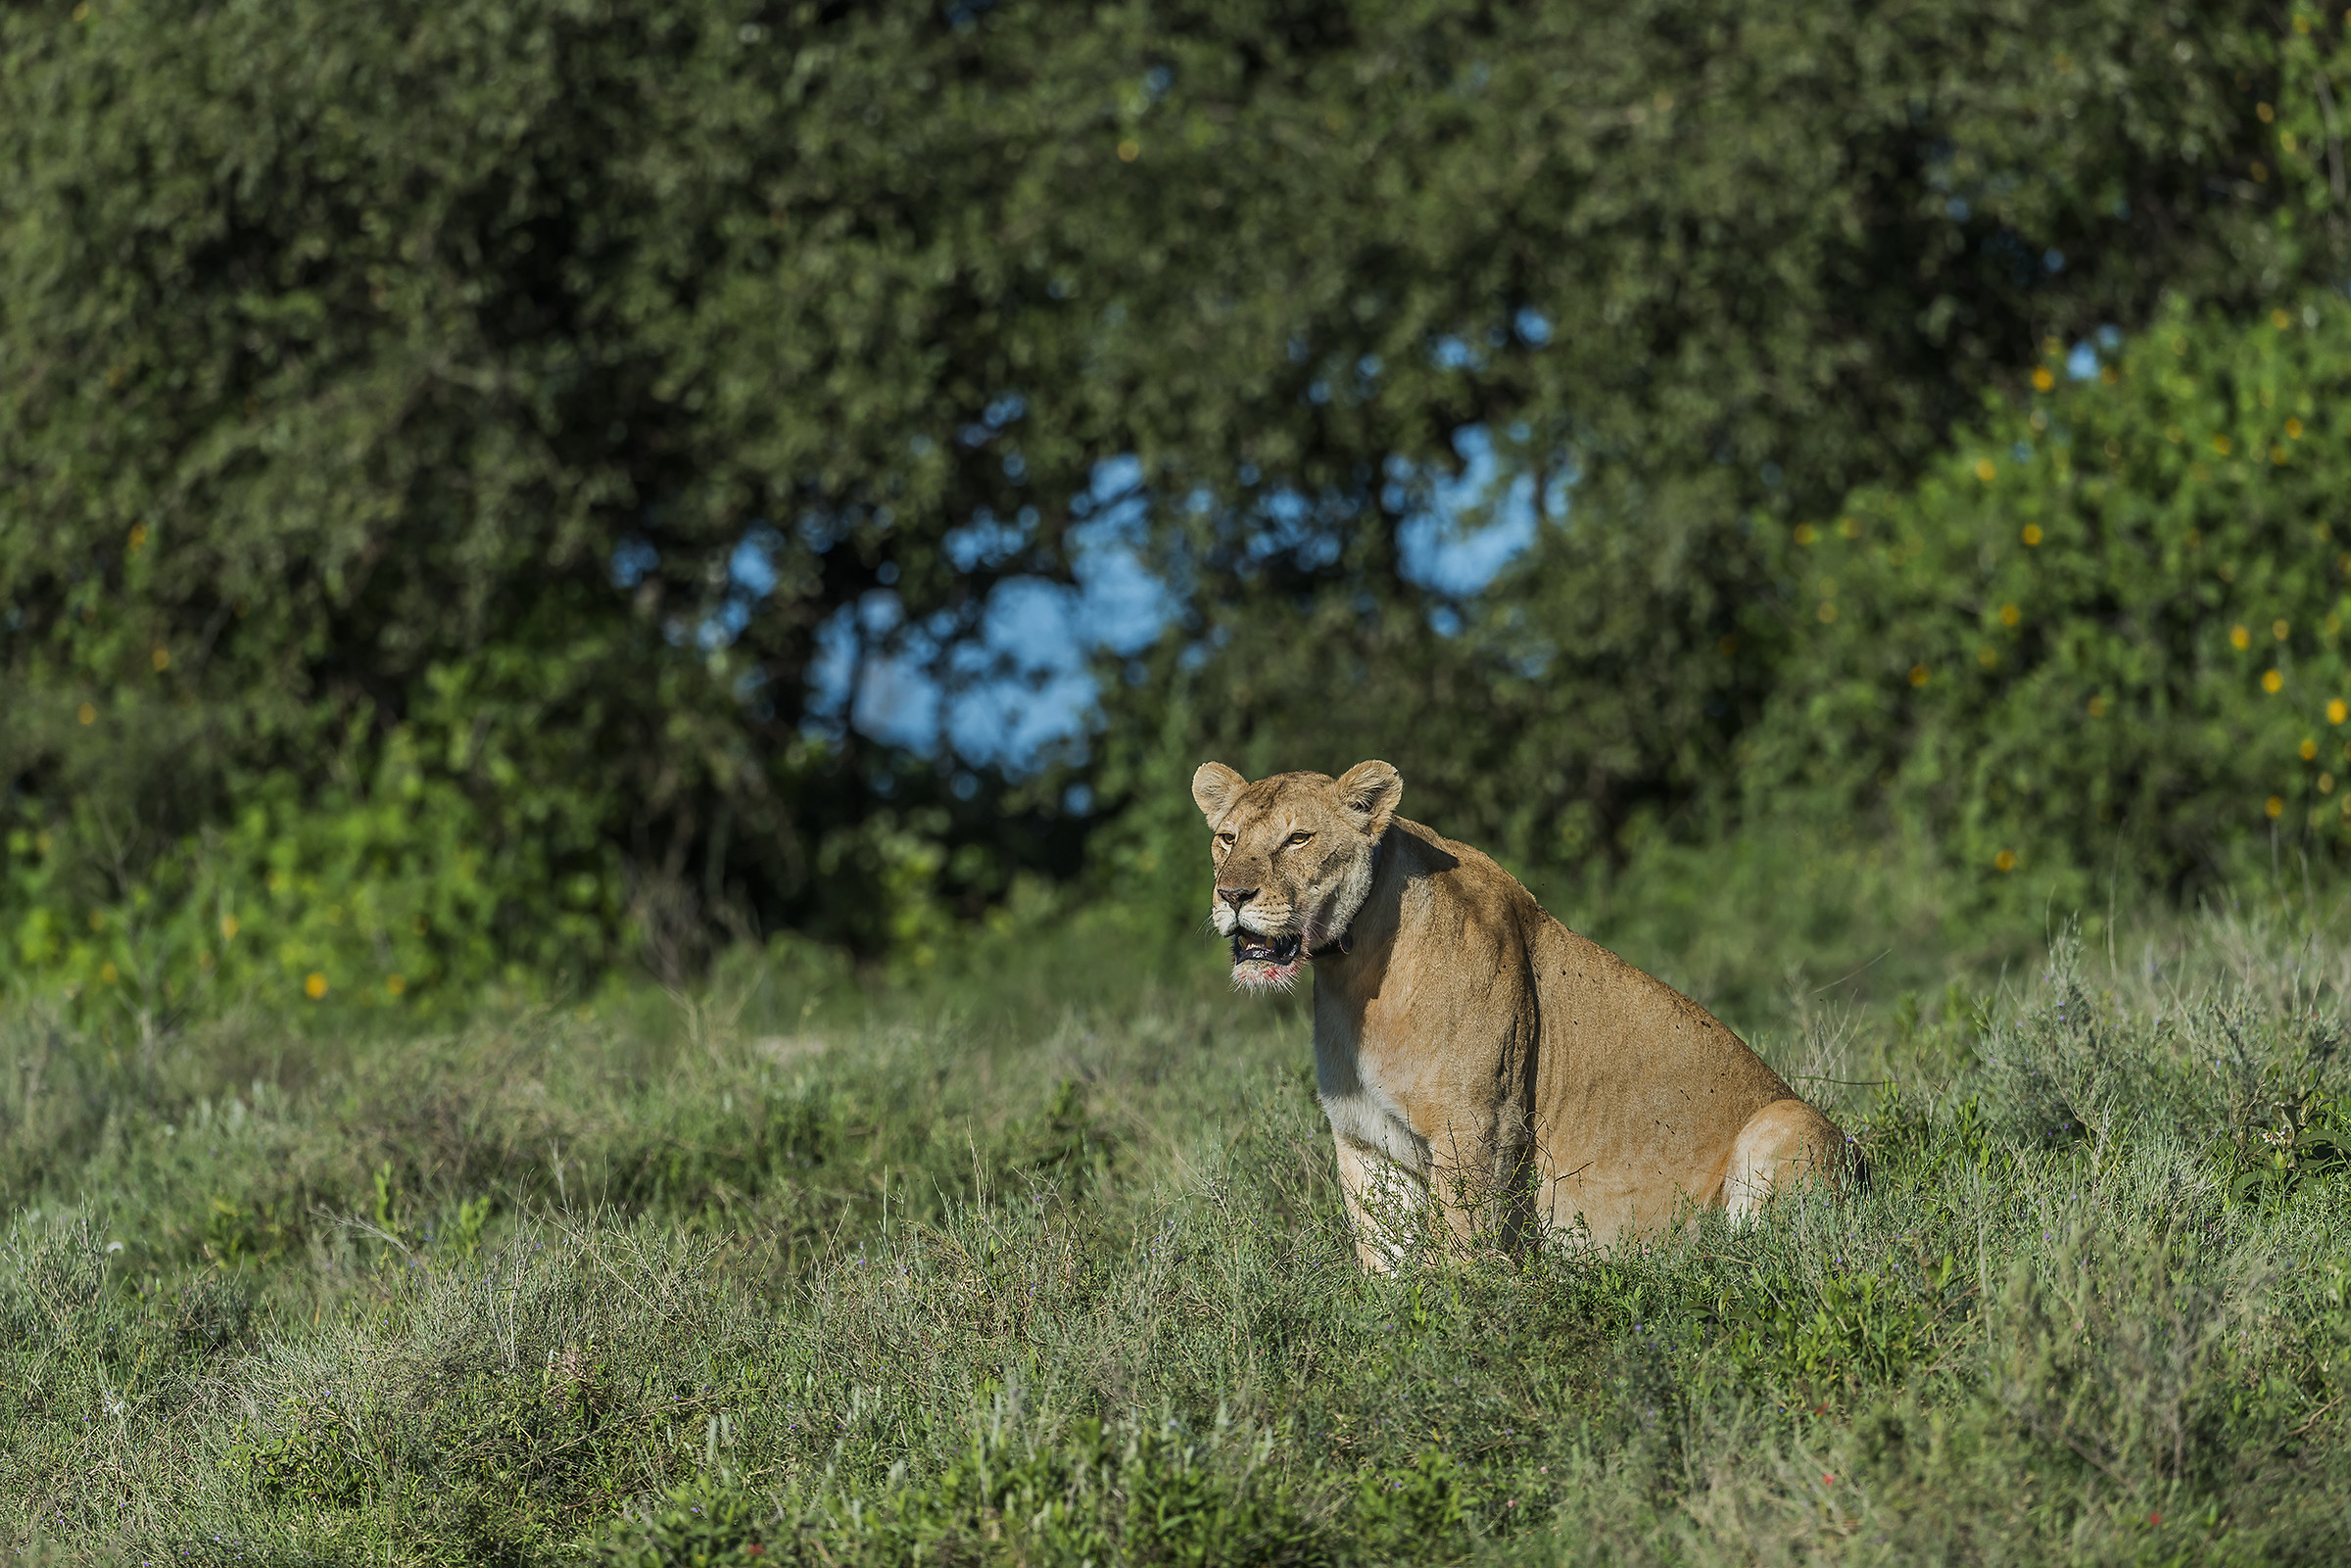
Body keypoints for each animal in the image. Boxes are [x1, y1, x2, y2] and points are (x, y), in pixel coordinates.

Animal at [1192, 759, 1859, 1267]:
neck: (1350, 972)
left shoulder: (1477, 1125)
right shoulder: (1365, 1138)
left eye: (1297, 839)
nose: (1231, 895)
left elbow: (1461, 1248)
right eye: (1227, 839)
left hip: (1786, 1123)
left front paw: (1461, 1327)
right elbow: (1383, 1259)